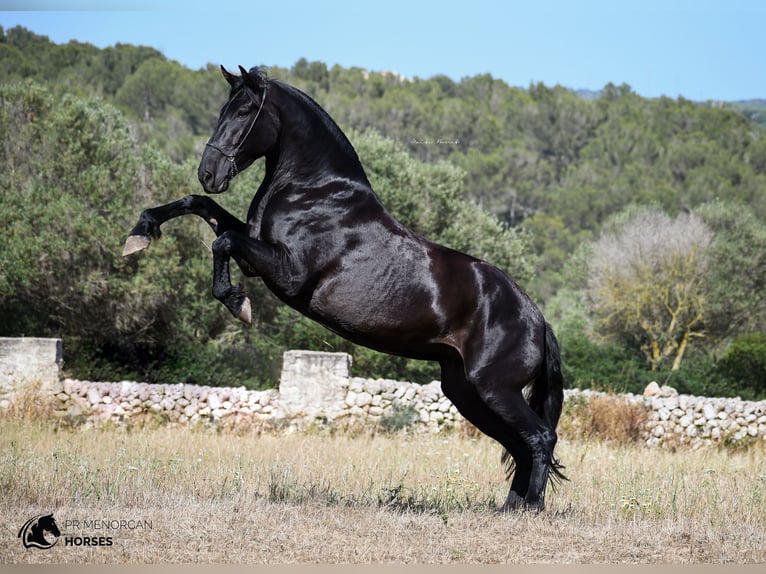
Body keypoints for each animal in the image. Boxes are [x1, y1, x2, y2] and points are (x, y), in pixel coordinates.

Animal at [126, 66, 568, 512]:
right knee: (520, 444)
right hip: (467, 392)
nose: (209, 173)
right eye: (223, 110)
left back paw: (531, 508)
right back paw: (510, 508)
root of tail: (536, 318)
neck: (314, 192)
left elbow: (224, 243)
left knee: (540, 437)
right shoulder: (255, 257)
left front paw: (238, 303)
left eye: (245, 111)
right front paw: (140, 234)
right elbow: (199, 207)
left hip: (494, 389)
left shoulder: (284, 271)